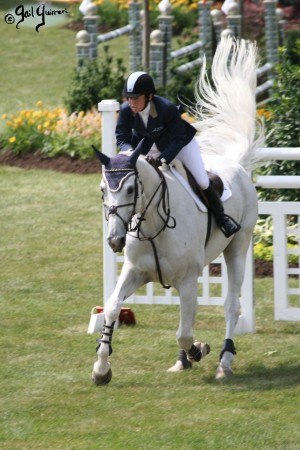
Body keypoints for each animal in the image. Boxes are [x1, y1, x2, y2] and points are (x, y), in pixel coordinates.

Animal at [92, 37, 264, 384]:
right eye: (104, 190)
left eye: (130, 190)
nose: (115, 241)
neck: (151, 224)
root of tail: (236, 164)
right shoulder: (135, 271)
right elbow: (113, 306)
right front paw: (101, 368)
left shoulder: (187, 279)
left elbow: (184, 332)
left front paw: (199, 350)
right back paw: (184, 361)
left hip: (238, 247)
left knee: (231, 306)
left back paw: (224, 361)